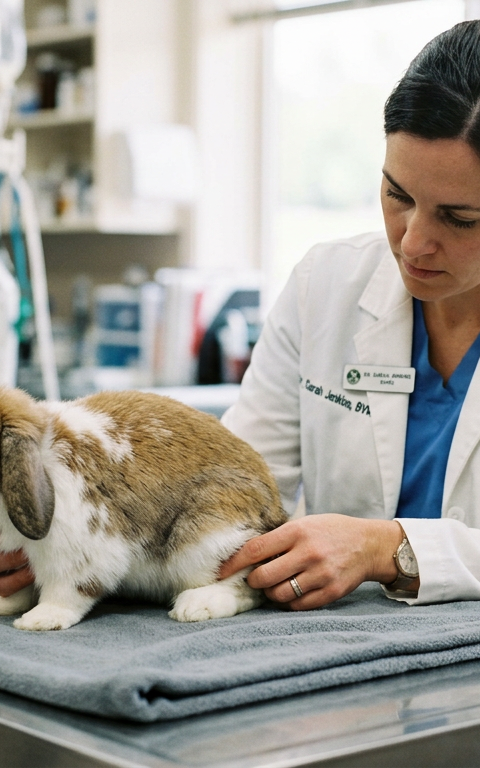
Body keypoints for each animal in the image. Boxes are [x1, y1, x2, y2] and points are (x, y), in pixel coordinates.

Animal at [0, 387, 287, 631]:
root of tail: (276, 510)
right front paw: (6, 605)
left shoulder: (80, 551)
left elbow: (68, 590)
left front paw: (39, 620)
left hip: (205, 539)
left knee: (249, 586)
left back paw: (195, 606)